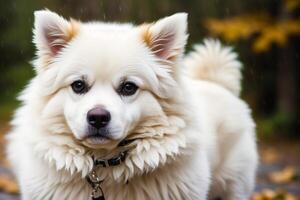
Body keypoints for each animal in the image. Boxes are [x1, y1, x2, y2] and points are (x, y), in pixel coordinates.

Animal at [5, 9, 258, 200]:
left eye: (128, 87)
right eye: (78, 85)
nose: (98, 117)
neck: (105, 168)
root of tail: (216, 82)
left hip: (235, 185)